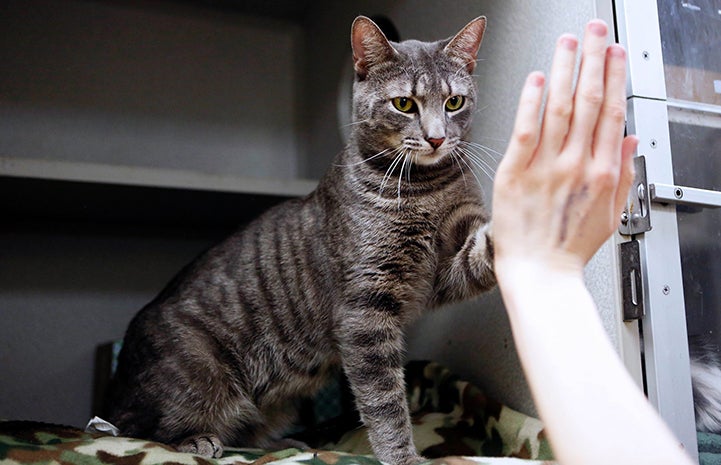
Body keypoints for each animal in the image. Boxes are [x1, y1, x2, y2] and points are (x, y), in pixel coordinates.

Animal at [104, 15, 492, 464]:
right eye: (404, 104)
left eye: (454, 103)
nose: (436, 138)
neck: (427, 190)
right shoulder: (364, 312)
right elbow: (385, 403)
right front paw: (402, 456)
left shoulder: (449, 262)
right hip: (197, 378)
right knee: (142, 429)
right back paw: (197, 440)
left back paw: (286, 443)